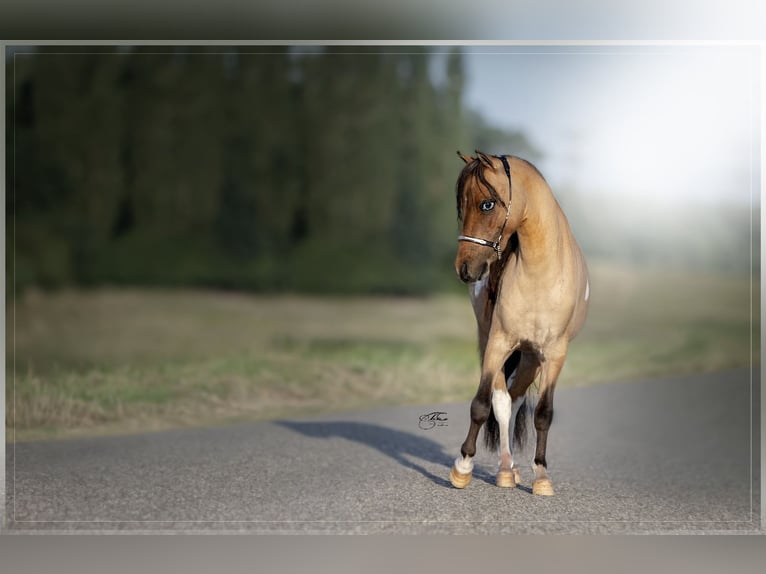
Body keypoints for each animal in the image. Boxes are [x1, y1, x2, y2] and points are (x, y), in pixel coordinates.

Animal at [449, 150, 589, 496]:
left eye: (487, 204)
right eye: (462, 205)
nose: (465, 268)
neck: (540, 273)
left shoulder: (554, 355)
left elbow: (543, 413)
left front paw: (542, 476)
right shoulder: (498, 342)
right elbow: (481, 404)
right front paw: (462, 468)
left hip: (530, 359)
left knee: (515, 399)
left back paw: (511, 469)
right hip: (495, 343)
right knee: (502, 402)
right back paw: (504, 470)